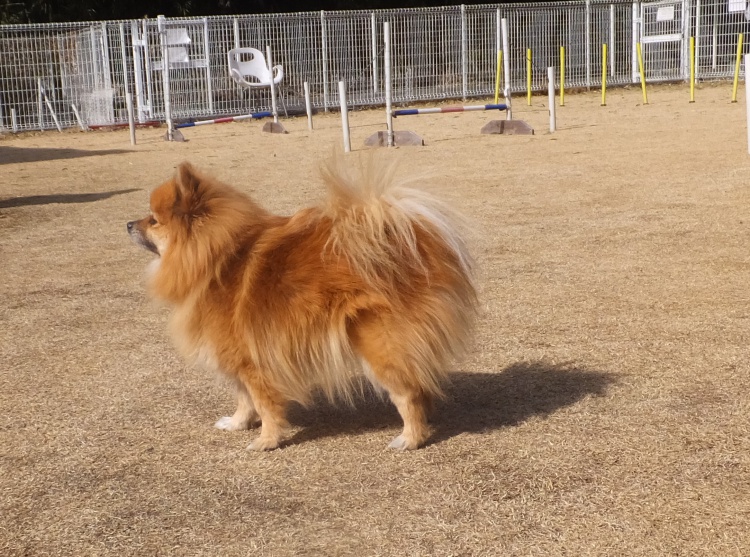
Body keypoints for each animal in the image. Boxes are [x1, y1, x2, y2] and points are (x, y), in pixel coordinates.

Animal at [127, 157, 477, 450]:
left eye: (153, 220)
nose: (128, 224)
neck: (216, 260)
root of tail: (414, 242)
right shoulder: (236, 359)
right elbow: (243, 399)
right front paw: (238, 424)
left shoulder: (252, 361)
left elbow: (263, 403)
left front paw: (266, 441)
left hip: (380, 343)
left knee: (409, 393)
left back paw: (410, 438)